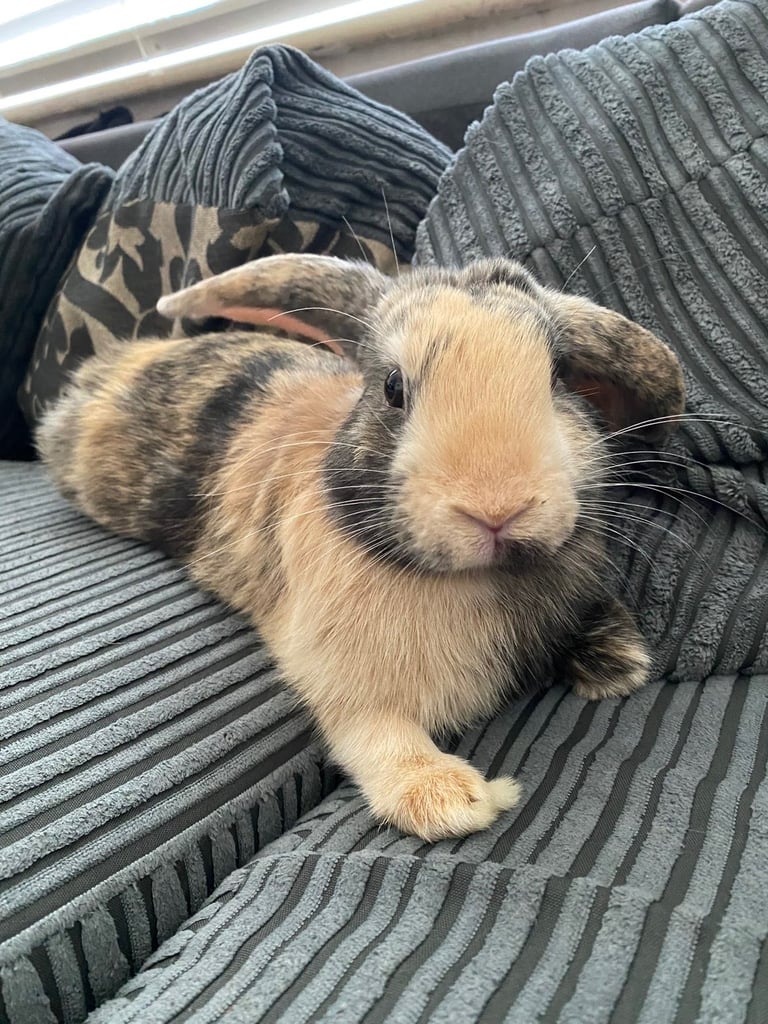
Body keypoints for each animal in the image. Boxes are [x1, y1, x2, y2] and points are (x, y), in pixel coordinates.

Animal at [36, 254, 685, 841]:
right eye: (393, 389)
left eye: (556, 376)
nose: (497, 507)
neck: (479, 577)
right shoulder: (337, 672)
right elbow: (373, 730)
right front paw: (449, 799)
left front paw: (619, 664)